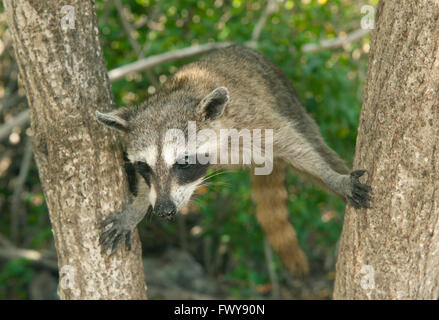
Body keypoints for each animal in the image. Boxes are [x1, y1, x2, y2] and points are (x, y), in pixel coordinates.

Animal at [96, 43, 372, 276]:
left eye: (184, 162)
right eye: (144, 166)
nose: (164, 211)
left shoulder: (253, 121)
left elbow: (299, 148)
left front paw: (335, 179)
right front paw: (138, 207)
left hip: (290, 102)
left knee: (315, 144)